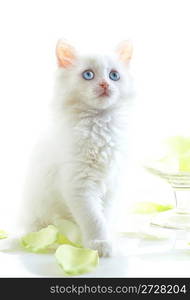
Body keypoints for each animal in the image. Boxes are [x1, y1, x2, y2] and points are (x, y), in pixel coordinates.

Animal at [21, 38, 133, 256]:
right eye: (88, 74)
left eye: (114, 75)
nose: (105, 84)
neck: (99, 124)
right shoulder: (79, 184)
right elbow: (94, 219)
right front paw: (99, 243)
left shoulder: (110, 183)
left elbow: (104, 215)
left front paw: (105, 239)